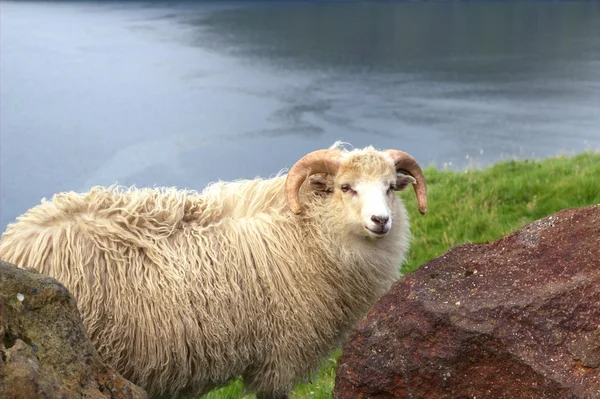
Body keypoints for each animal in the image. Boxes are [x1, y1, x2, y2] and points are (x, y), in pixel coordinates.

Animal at [0, 142, 426, 398]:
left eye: (391, 187)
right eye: (345, 187)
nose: (381, 221)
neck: (307, 230)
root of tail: (16, 241)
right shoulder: (282, 357)